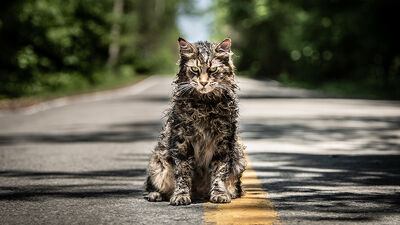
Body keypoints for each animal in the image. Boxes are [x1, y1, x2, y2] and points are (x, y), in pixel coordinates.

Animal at [144, 37, 245, 206]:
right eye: (195, 69)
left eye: (213, 70)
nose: (203, 83)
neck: (204, 105)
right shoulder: (182, 140)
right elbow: (183, 172)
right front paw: (181, 195)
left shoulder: (223, 141)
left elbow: (219, 171)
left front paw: (219, 194)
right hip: (158, 162)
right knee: (154, 186)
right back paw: (155, 194)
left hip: (239, 158)